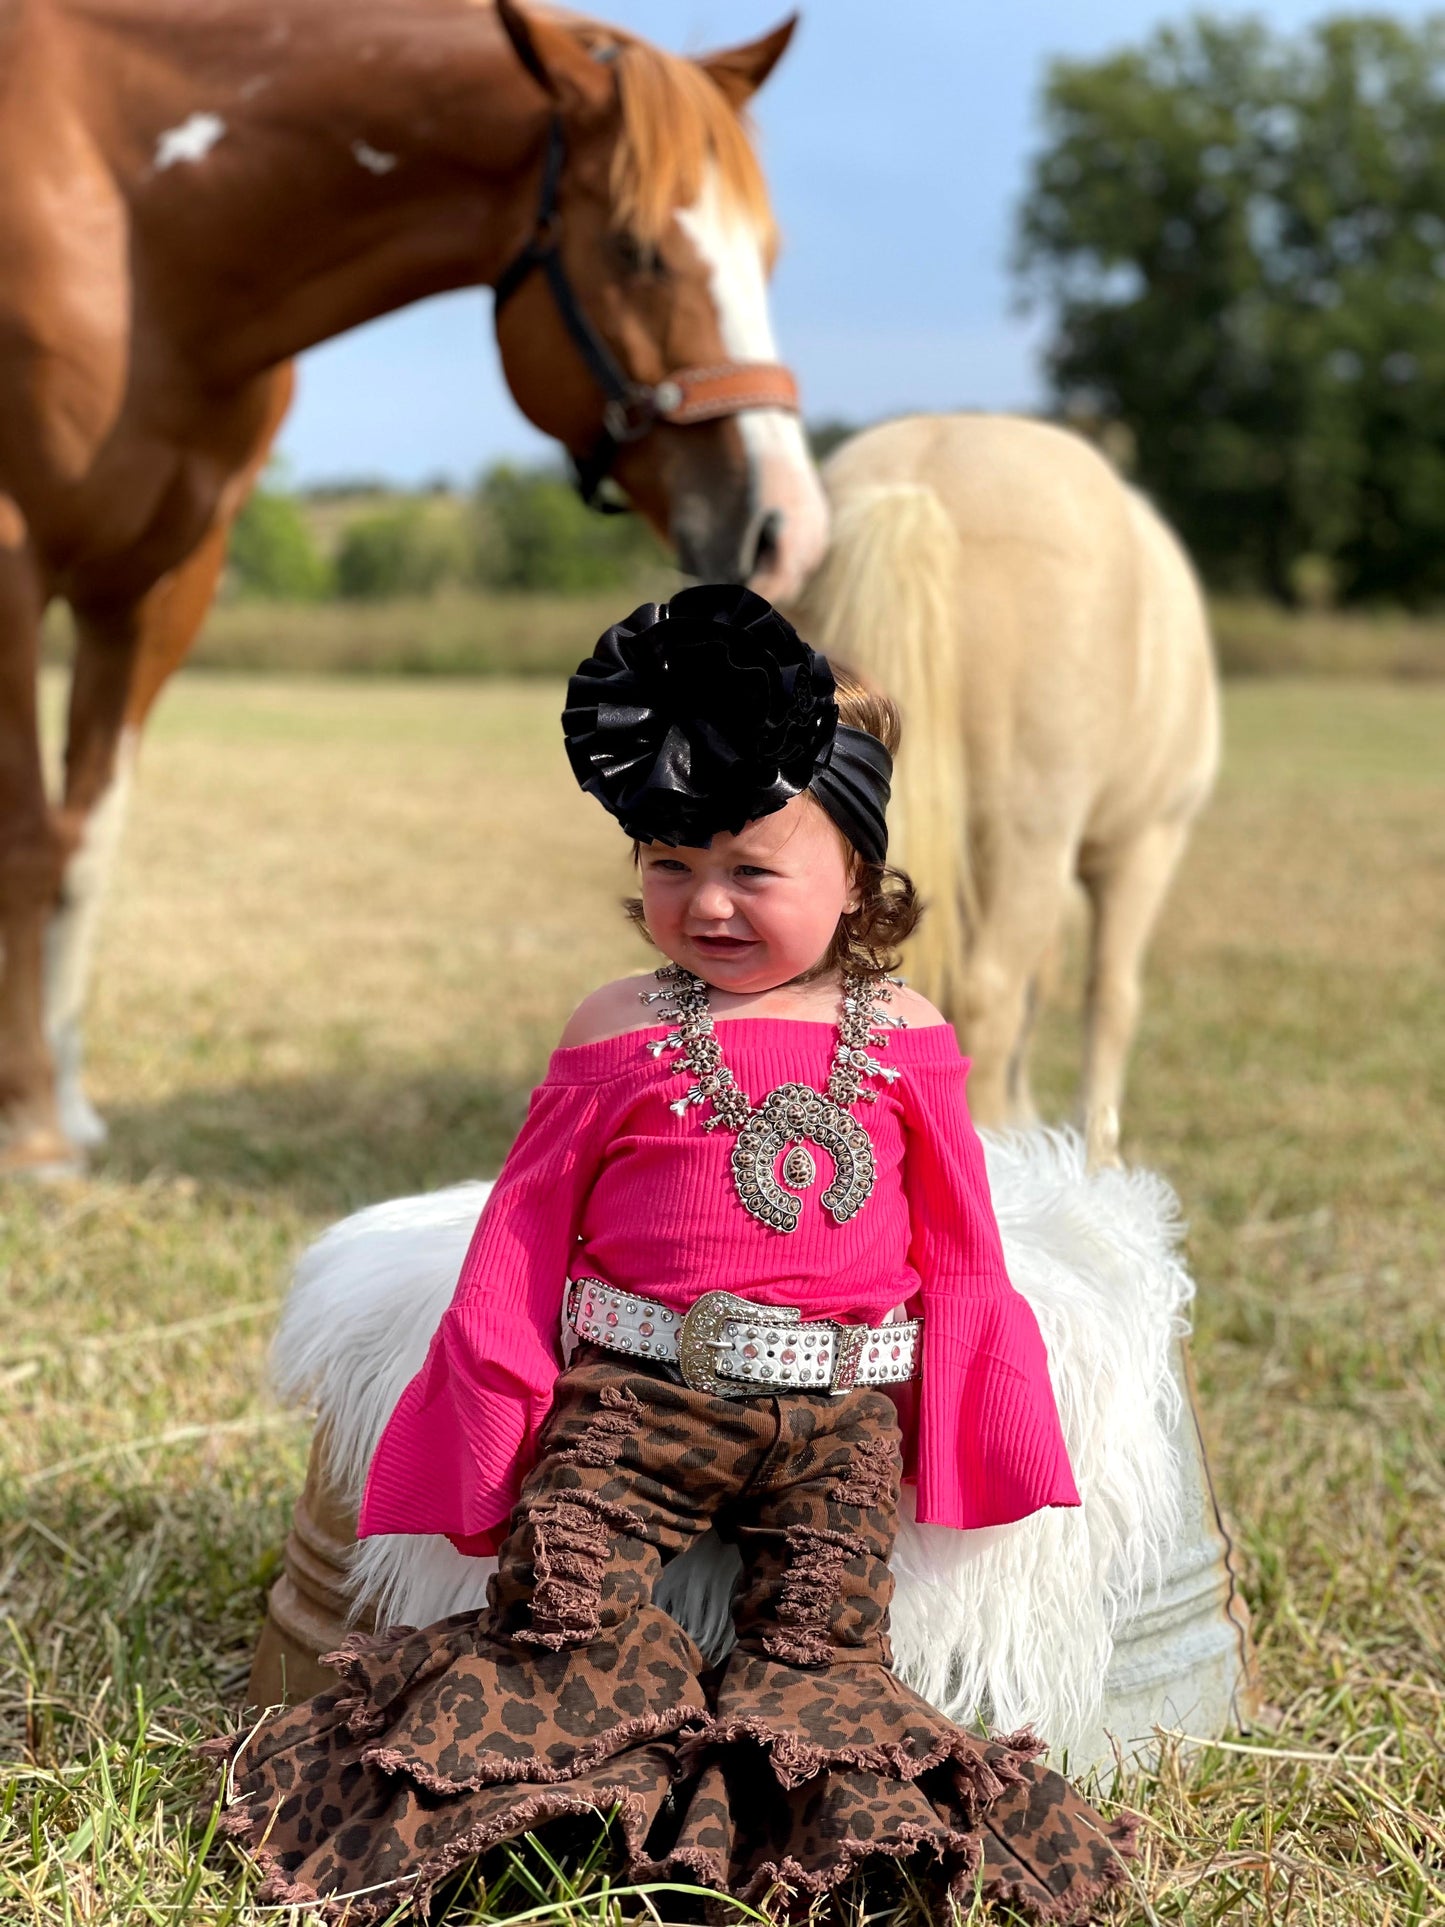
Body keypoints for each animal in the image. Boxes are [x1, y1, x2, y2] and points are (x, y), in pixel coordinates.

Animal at [0, 0, 824, 1171]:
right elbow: (29, 837)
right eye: (633, 249)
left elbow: (87, 840)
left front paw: (64, 1102)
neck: (132, 220)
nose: (783, 523)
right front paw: (28, 1120)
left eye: (765, 253)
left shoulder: (157, 587)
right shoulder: (13, 557)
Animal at [797, 412, 1225, 1156]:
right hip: (1028, 836)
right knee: (990, 996)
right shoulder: (1145, 843)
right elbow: (1110, 997)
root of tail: (919, 486)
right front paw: (1094, 1153)